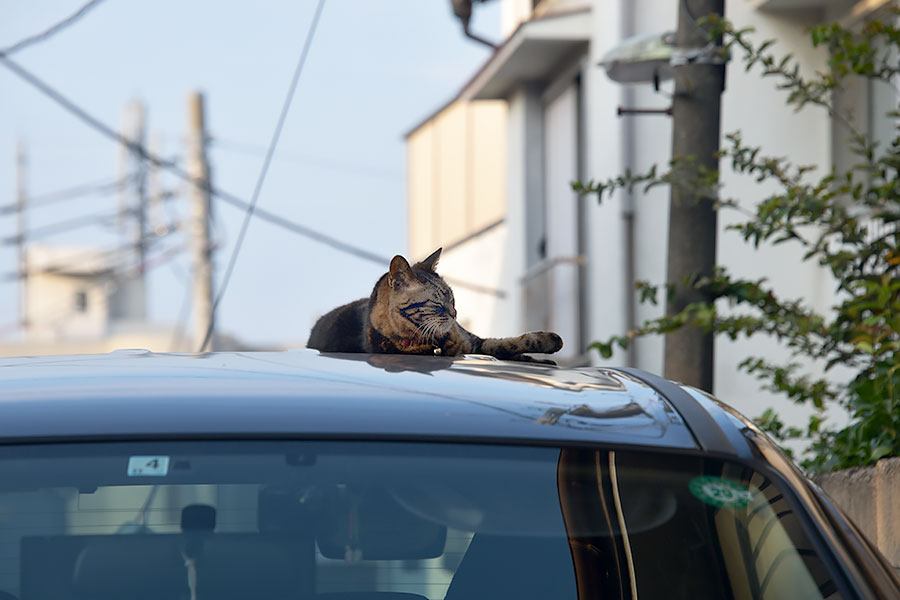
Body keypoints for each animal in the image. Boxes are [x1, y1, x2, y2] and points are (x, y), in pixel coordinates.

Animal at [310, 248, 564, 360]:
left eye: (452, 297)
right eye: (438, 300)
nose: (455, 313)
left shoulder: (474, 342)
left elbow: (507, 343)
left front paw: (547, 341)